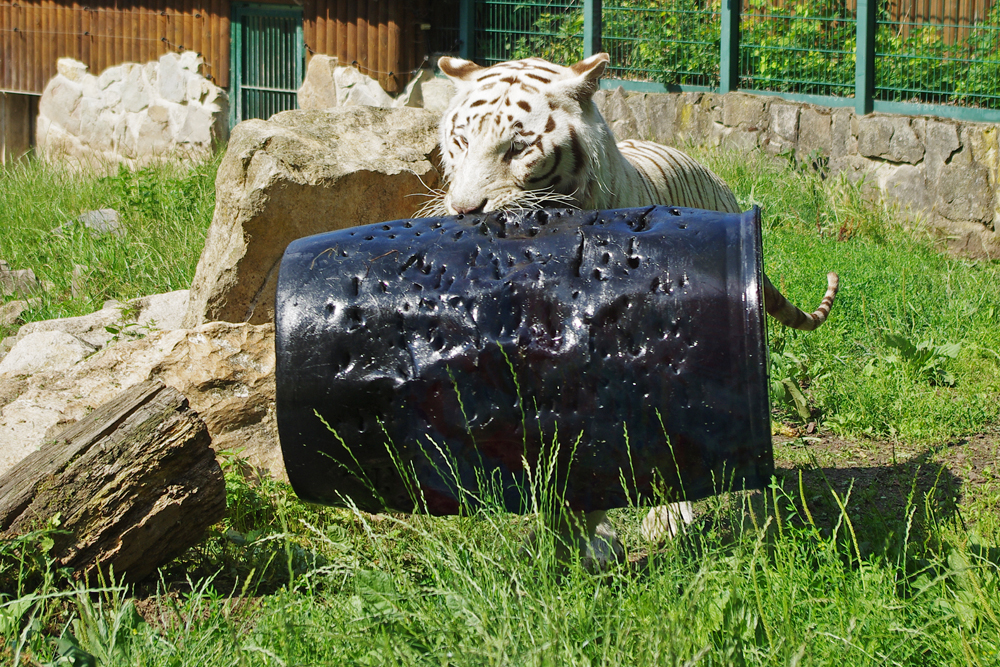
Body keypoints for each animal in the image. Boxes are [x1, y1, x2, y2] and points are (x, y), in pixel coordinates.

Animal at [428, 51, 836, 564]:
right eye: (461, 141)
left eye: (518, 149)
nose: (464, 212)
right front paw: (563, 543)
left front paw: (590, 544)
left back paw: (694, 521)